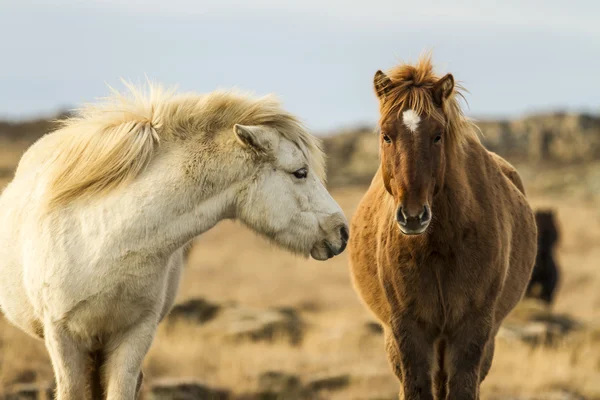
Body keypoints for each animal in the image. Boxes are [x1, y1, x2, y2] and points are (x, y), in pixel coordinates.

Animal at [350, 54, 536, 398]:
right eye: (386, 135)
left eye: (437, 135)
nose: (412, 216)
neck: (437, 246)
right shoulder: (408, 331)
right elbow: (416, 388)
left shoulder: (472, 331)